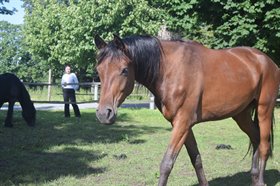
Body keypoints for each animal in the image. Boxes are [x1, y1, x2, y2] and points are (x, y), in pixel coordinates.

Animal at [94, 34, 280, 185]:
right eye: (99, 70)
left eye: (124, 70)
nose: (104, 113)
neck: (170, 69)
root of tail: (267, 61)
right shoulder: (183, 125)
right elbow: (196, 159)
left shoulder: (182, 123)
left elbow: (166, 164)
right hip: (241, 115)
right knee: (256, 138)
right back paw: (254, 177)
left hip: (264, 109)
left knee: (264, 145)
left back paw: (260, 180)